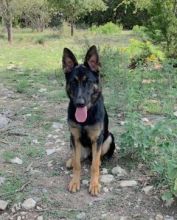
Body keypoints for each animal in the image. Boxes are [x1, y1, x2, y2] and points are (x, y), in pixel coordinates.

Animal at [62, 45, 115, 196]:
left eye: (88, 82)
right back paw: (71, 160)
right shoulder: (74, 137)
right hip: (72, 141)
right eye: (73, 82)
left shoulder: (97, 138)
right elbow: (78, 165)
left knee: (96, 158)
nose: (80, 103)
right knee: (79, 157)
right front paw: (75, 181)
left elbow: (94, 166)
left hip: (109, 137)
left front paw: (94, 184)